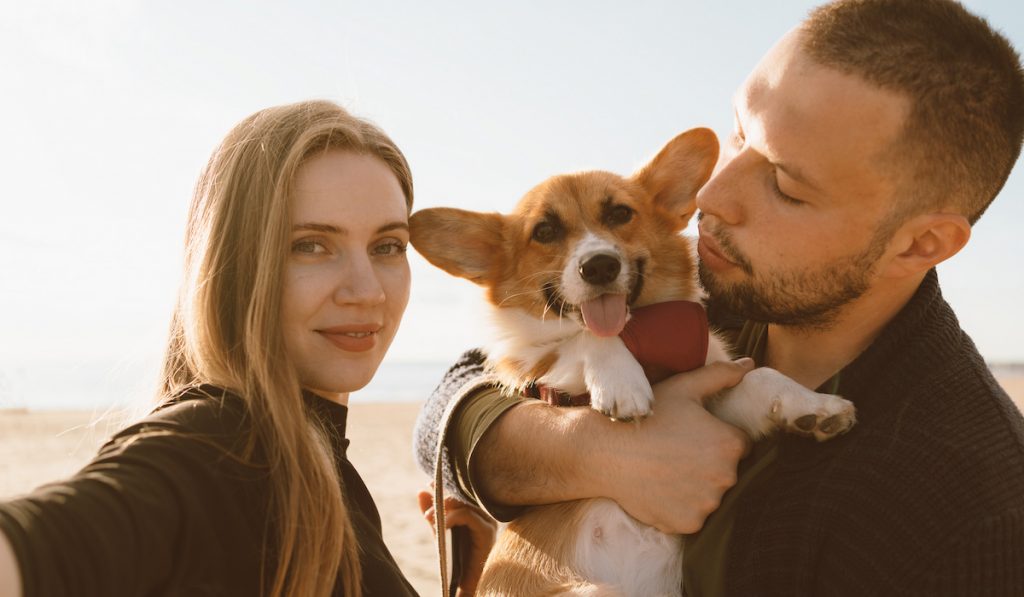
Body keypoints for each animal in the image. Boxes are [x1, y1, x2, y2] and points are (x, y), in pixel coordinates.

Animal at [407, 131, 856, 597]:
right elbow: (589, 337)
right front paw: (622, 385)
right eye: (544, 231)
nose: (599, 266)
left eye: (620, 213)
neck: (648, 338)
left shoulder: (709, 395)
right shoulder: (538, 365)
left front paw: (815, 406)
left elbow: (761, 377)